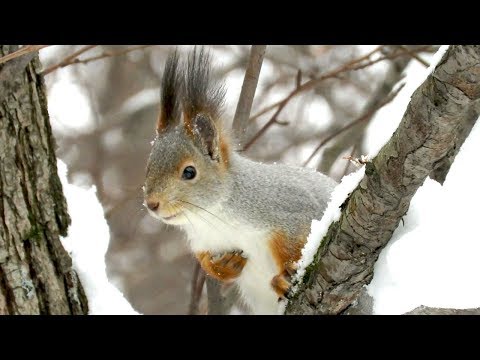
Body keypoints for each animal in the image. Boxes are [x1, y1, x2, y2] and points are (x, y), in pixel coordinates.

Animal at [144, 47, 336, 312]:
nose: (152, 204)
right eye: (149, 164)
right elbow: (208, 264)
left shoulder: (289, 209)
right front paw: (224, 266)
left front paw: (285, 276)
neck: (212, 217)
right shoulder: (203, 243)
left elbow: (298, 241)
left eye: (189, 172)